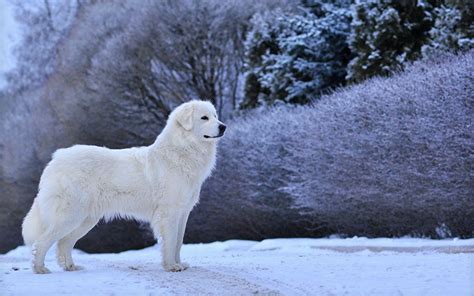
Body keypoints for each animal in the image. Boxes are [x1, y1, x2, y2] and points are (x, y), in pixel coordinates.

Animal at [19, 99, 224, 272]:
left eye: (215, 115)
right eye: (204, 117)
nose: (224, 126)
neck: (182, 150)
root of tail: (56, 159)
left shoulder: (183, 212)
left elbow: (179, 242)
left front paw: (179, 264)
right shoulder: (169, 213)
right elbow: (171, 241)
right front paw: (171, 267)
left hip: (85, 219)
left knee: (64, 243)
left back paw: (71, 267)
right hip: (70, 215)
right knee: (42, 242)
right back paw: (40, 269)